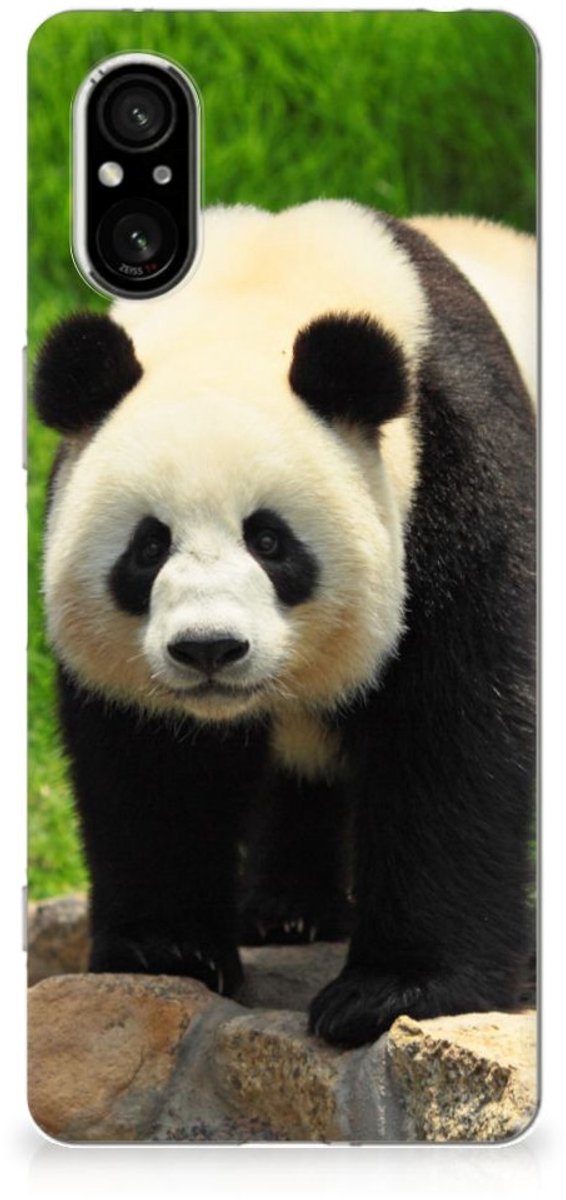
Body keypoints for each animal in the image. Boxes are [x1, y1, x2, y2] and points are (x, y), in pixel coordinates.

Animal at [33, 201, 536, 1048]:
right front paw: (168, 951)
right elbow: (150, 762)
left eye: (269, 541)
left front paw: (392, 990)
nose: (208, 648)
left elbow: (455, 730)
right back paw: (287, 912)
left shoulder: (459, 474)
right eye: (148, 546)